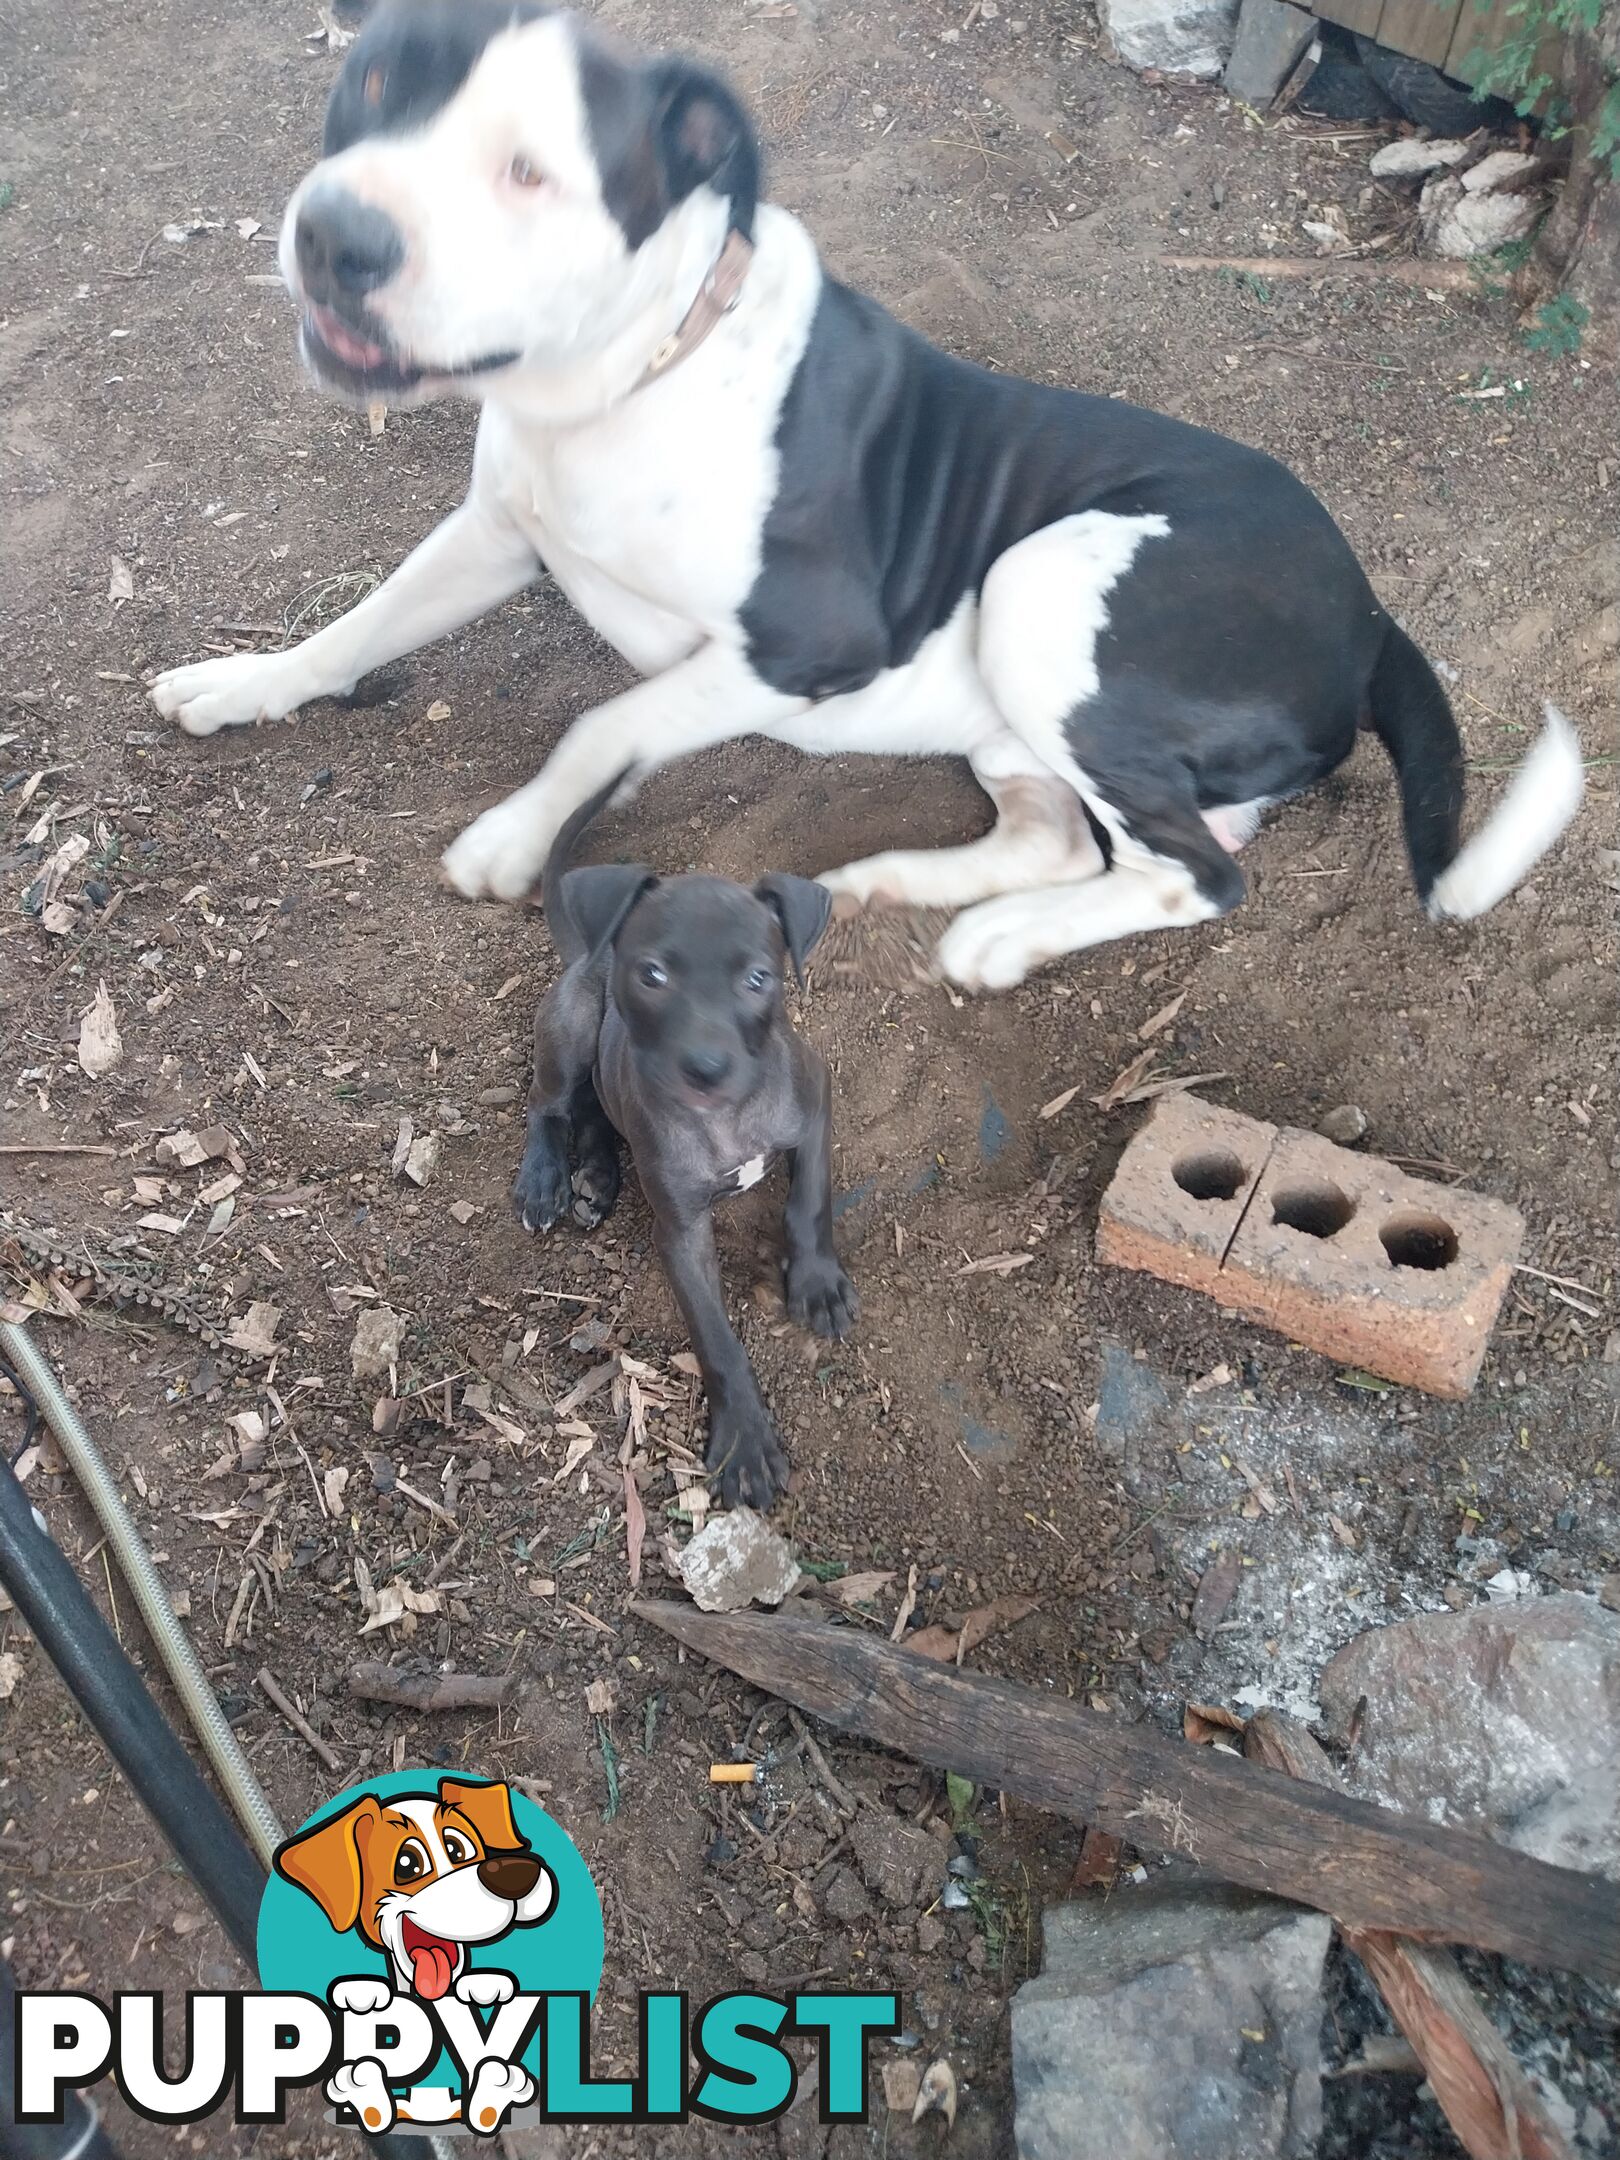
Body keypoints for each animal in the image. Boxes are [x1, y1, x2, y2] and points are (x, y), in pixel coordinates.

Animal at [149, 0, 1589, 989]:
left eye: (529, 169)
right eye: (367, 85)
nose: (333, 234)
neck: (628, 375)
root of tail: (1373, 615)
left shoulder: (800, 650)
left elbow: (601, 725)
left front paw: (513, 833)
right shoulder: (496, 535)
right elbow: (363, 625)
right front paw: (245, 683)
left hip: (1038, 583)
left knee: (1203, 875)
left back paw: (1002, 940)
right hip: (1019, 702)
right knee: (1078, 839)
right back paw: (906, 885)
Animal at [516, 786, 851, 1512]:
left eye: (758, 978)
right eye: (653, 975)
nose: (705, 1067)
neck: (726, 1118)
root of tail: (586, 952)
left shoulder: (814, 1099)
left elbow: (809, 1201)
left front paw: (815, 1283)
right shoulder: (681, 1233)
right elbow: (716, 1338)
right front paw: (744, 1444)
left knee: (594, 1110)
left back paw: (597, 1179)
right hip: (572, 1029)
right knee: (549, 1103)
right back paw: (545, 1180)